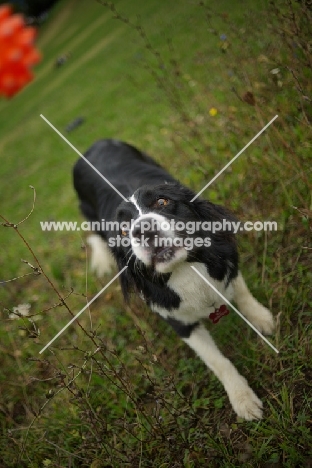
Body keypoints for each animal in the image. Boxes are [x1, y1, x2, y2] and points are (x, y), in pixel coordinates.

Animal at [73, 139, 276, 420]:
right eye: (123, 230)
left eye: (162, 201)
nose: (143, 229)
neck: (184, 268)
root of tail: (93, 144)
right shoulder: (176, 319)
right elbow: (217, 361)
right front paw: (243, 400)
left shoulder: (224, 258)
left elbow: (241, 290)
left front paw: (261, 319)